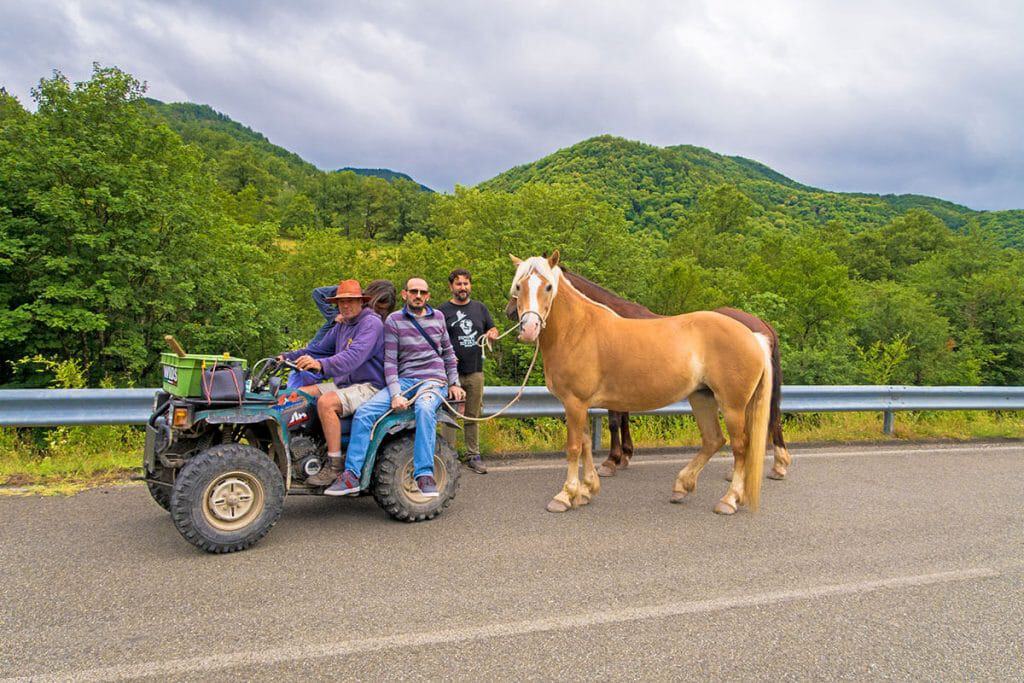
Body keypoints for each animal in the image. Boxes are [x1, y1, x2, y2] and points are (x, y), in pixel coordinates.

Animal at [507, 253, 770, 516]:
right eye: (519, 286)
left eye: (548, 287)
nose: (528, 329)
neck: (578, 330)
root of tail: (754, 336)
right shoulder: (581, 405)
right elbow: (585, 444)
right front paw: (587, 490)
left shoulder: (574, 403)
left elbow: (574, 447)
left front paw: (565, 495)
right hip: (702, 398)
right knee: (713, 440)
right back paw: (681, 487)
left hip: (732, 406)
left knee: (740, 447)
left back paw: (729, 499)